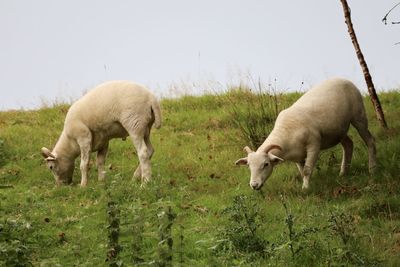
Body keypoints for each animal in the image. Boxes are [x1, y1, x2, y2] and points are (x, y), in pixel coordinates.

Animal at [234, 77, 376, 191]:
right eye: (248, 166)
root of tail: (343, 78)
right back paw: (343, 173)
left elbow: (307, 170)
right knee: (348, 144)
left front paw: (305, 188)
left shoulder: (314, 144)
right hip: (338, 130)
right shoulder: (298, 156)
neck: (285, 132)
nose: (254, 185)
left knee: (370, 140)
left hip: (359, 115)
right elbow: (302, 172)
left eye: (266, 164)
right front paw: (306, 184)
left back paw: (372, 168)